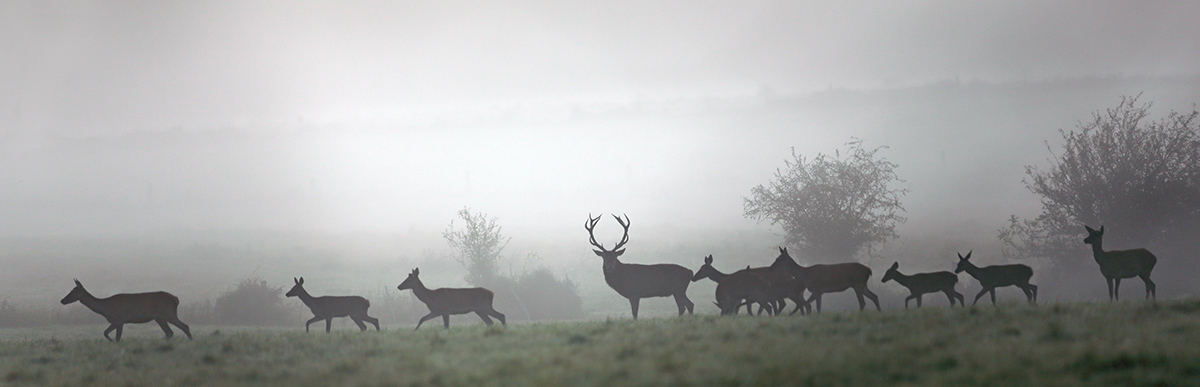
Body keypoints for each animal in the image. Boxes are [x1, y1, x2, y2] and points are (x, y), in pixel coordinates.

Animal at [59, 277, 192, 341]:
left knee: (184, 326)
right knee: (169, 332)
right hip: (159, 318)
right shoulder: (117, 321)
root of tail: (176, 299)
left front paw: (114, 342)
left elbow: (114, 336)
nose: (62, 300)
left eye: (73, 291)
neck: (104, 309)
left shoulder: (119, 320)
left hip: (168, 313)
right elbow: (106, 333)